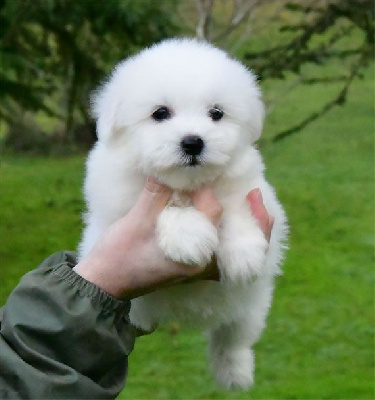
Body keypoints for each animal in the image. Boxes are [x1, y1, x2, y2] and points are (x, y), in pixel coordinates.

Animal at [79, 39, 290, 390]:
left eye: (216, 113)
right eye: (160, 113)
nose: (193, 142)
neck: (187, 185)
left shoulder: (250, 189)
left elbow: (236, 208)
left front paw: (244, 252)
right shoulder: (123, 205)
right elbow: (170, 208)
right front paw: (189, 238)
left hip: (251, 306)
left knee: (232, 338)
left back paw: (236, 373)